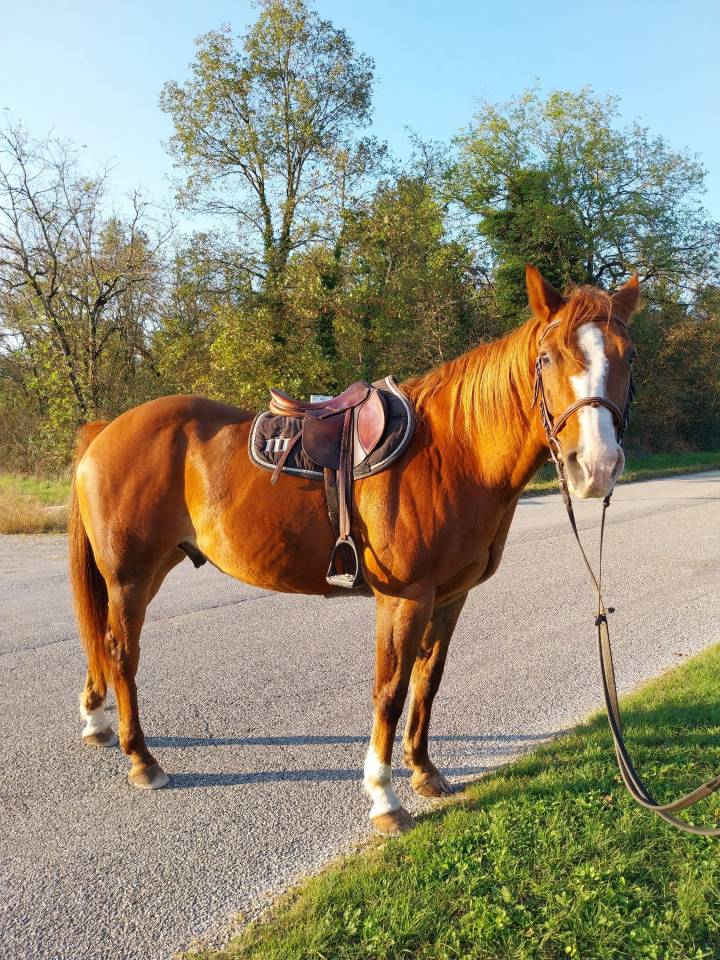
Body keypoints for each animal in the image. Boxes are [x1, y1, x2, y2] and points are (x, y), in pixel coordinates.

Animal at [69, 265, 639, 835]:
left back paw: (98, 723)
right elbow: (390, 691)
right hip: (130, 577)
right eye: (547, 358)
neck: (454, 453)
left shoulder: (450, 598)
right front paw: (384, 798)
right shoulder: (405, 599)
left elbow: (427, 682)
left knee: (105, 646)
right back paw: (142, 759)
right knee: (121, 653)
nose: (596, 466)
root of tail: (103, 432)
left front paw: (424, 771)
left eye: (628, 356)